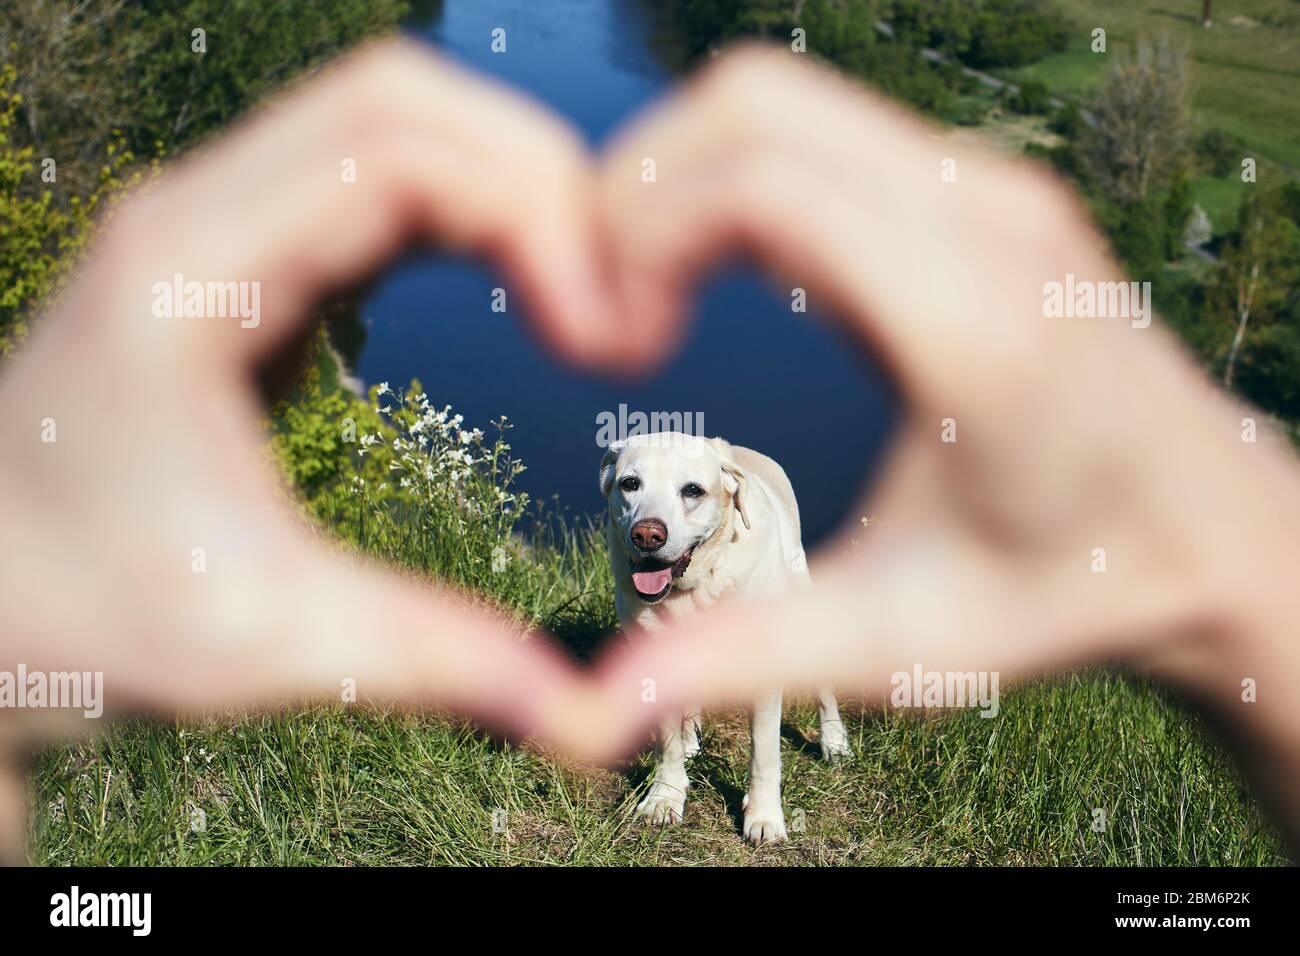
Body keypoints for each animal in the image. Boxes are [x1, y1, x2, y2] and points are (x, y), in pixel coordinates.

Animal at [598, 434, 852, 842]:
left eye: (692, 490)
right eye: (630, 483)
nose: (647, 534)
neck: (697, 583)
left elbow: (764, 751)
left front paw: (764, 817)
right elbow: (666, 743)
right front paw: (665, 797)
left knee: (823, 688)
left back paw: (835, 743)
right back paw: (690, 739)